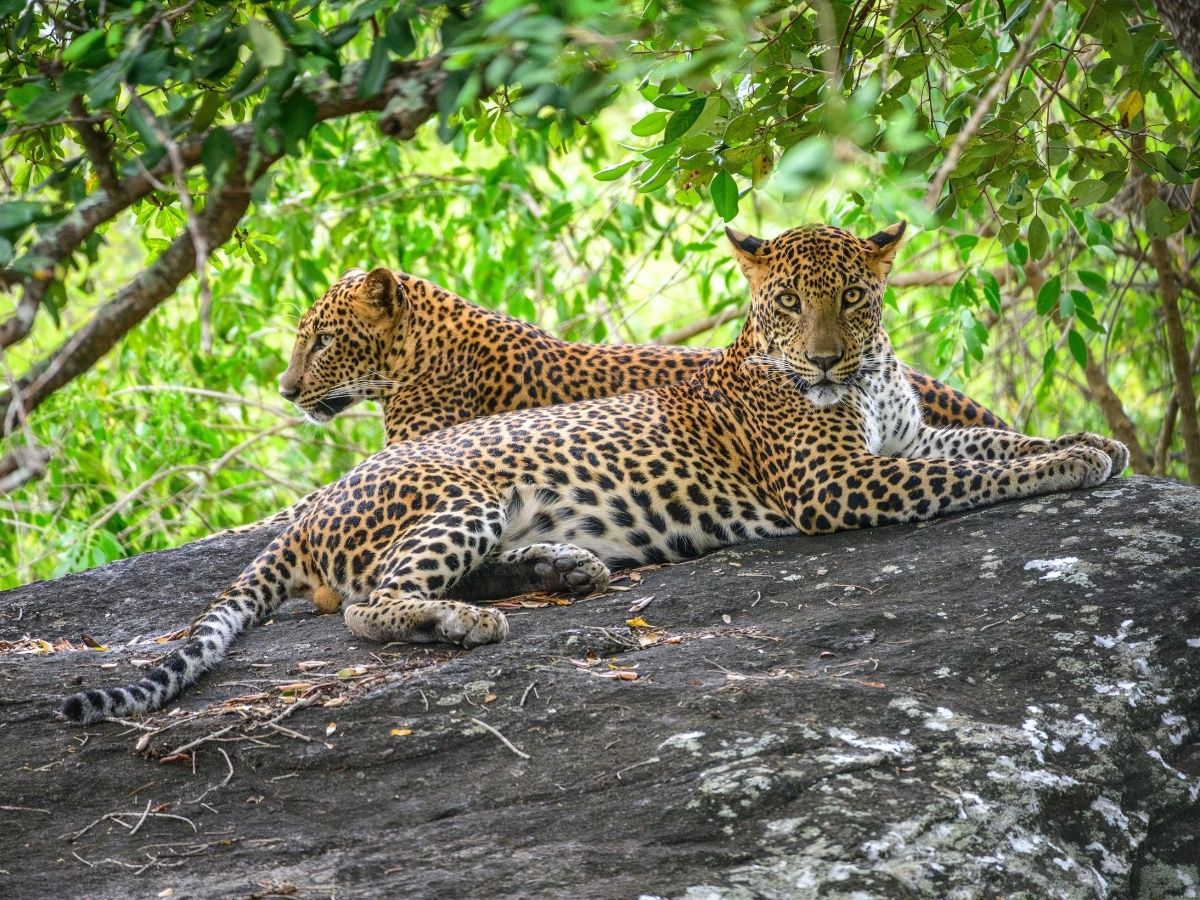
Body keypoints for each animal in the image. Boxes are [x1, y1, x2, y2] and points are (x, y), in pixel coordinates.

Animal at [61, 220, 1127, 725]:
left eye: (855, 299)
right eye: (788, 302)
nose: (825, 359)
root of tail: (305, 514)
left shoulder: (903, 444)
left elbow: (986, 449)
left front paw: (1086, 443)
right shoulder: (842, 483)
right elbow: (973, 479)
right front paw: (1076, 458)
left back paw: (563, 568)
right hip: (462, 498)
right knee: (370, 605)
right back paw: (468, 621)